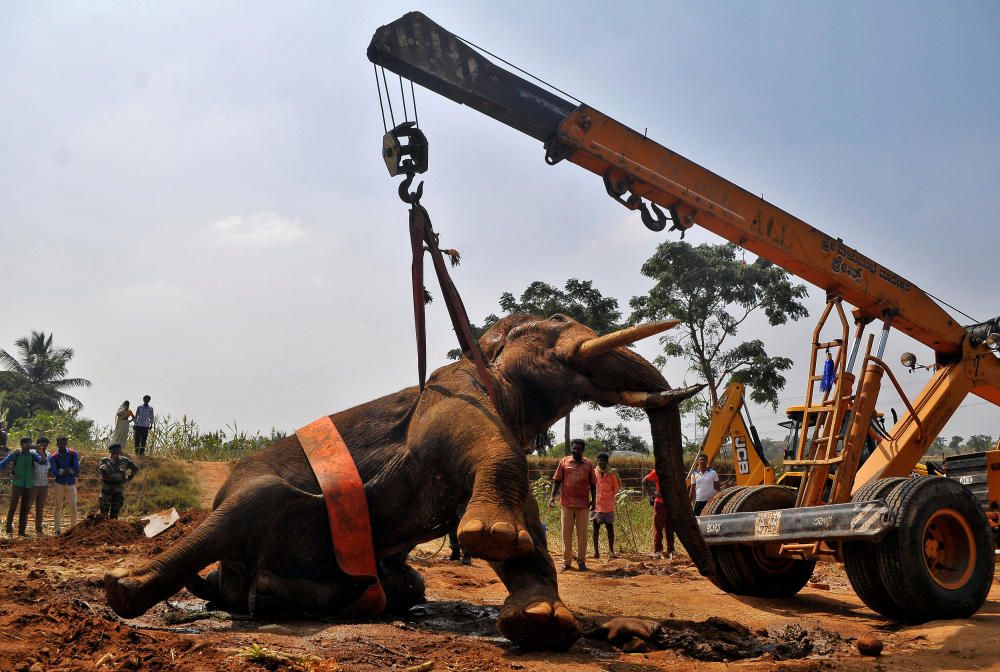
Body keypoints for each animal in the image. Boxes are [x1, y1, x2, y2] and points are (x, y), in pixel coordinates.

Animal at [103, 314, 712, 652]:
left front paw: (541, 623)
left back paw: (283, 596)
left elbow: (532, 532)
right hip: (246, 497)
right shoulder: (450, 393)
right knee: (246, 510)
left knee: (406, 585)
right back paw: (124, 589)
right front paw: (491, 538)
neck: (484, 352)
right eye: (560, 323)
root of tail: (227, 584)